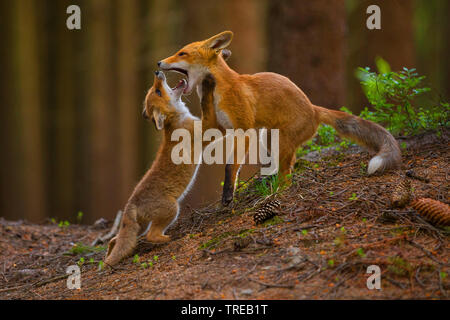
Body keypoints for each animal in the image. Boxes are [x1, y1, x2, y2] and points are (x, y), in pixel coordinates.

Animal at [158, 30, 400, 205]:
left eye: (182, 53)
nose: (159, 63)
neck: (222, 89)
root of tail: (313, 108)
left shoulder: (243, 129)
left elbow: (230, 167)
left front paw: (228, 194)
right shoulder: (217, 126)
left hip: (280, 140)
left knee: (288, 175)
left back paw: (277, 192)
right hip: (269, 137)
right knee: (283, 165)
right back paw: (268, 180)